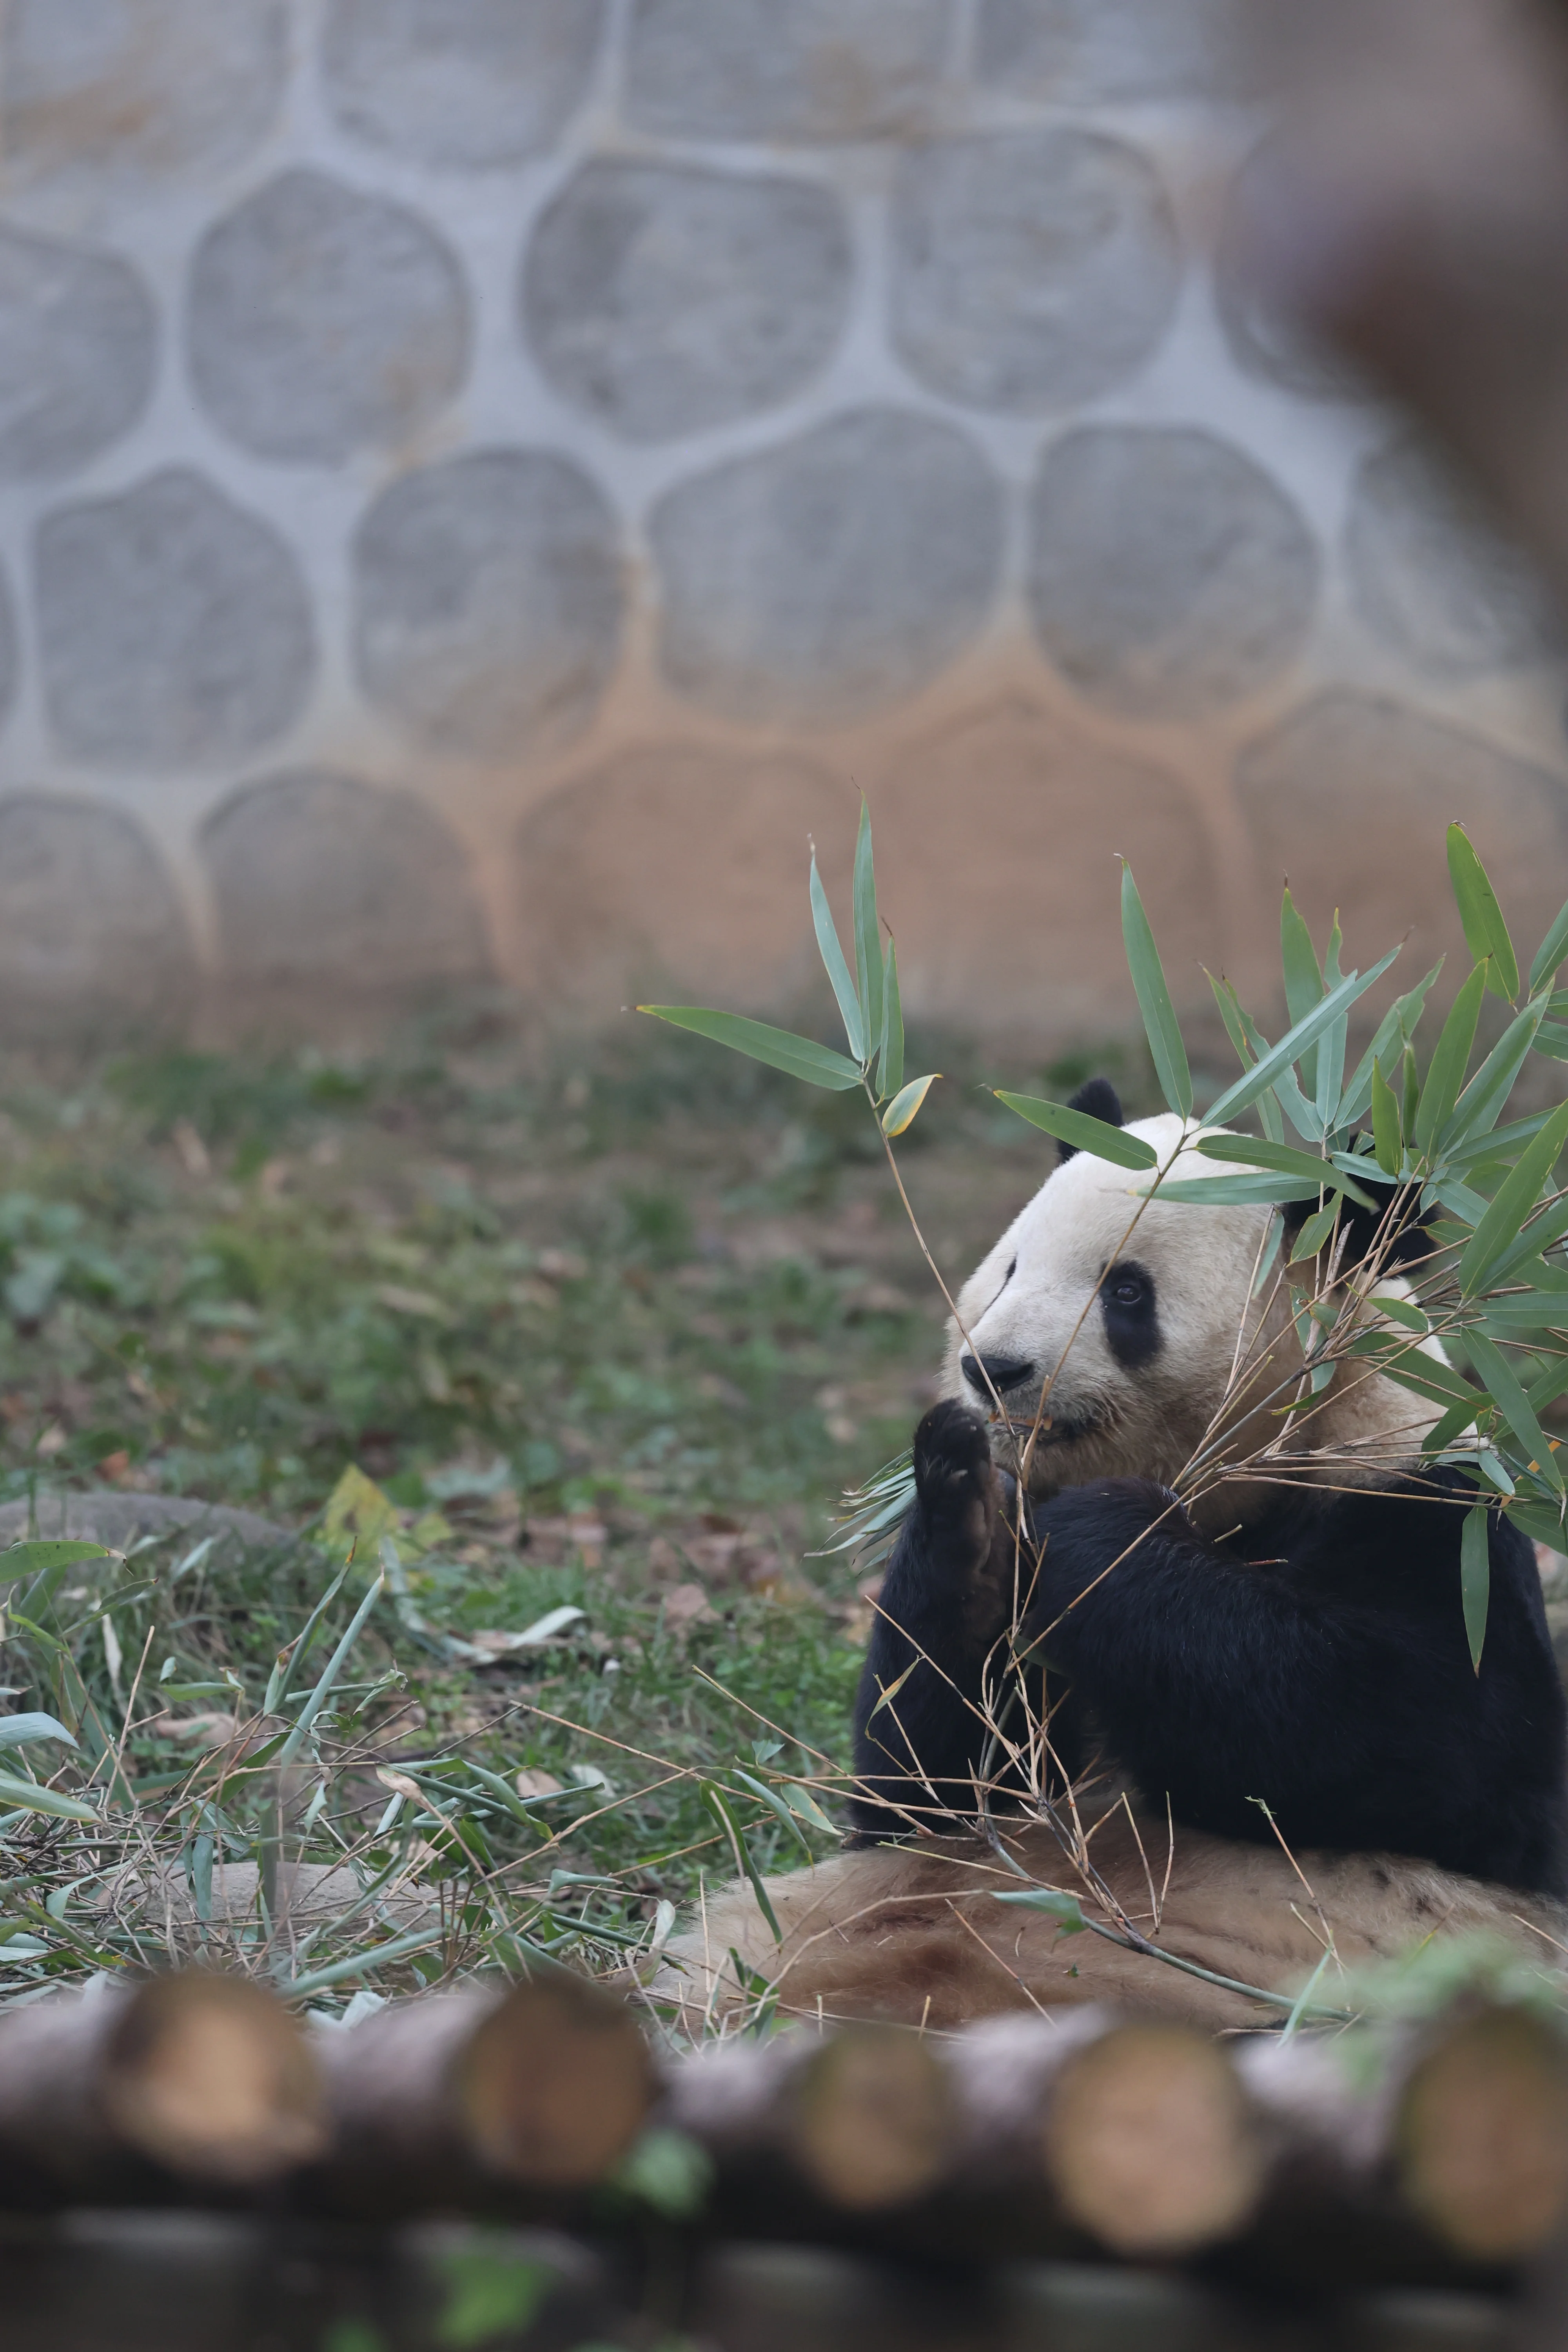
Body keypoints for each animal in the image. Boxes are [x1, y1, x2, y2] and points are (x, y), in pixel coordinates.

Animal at [850, 1080, 1568, 1897]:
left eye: (1128, 1292)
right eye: (1009, 1269)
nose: (993, 1369)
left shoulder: (1427, 1501)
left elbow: (1443, 1739)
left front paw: (1103, 1530)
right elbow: (929, 1792)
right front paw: (972, 1517)